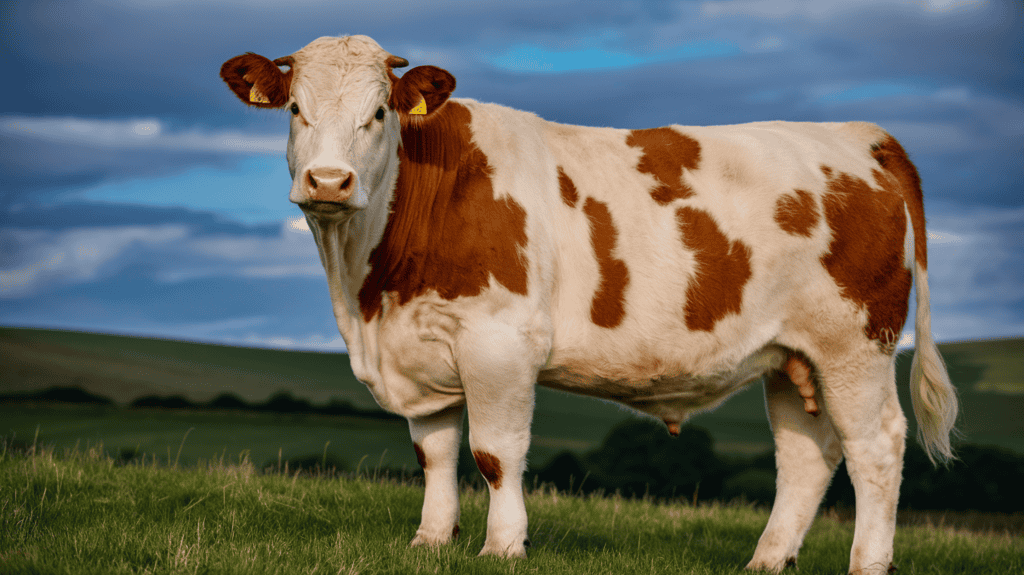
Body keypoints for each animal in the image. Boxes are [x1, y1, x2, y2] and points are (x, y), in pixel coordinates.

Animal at [220, 35, 958, 574]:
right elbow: (435, 451)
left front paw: (502, 545)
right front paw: (429, 541)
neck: (369, 296)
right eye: (295, 110)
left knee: (876, 445)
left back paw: (868, 563)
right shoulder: (421, 347)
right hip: (792, 356)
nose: (329, 181)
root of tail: (859, 134)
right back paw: (766, 560)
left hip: (855, 344)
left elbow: (494, 451)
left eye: (378, 114)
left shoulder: (500, 340)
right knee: (807, 455)